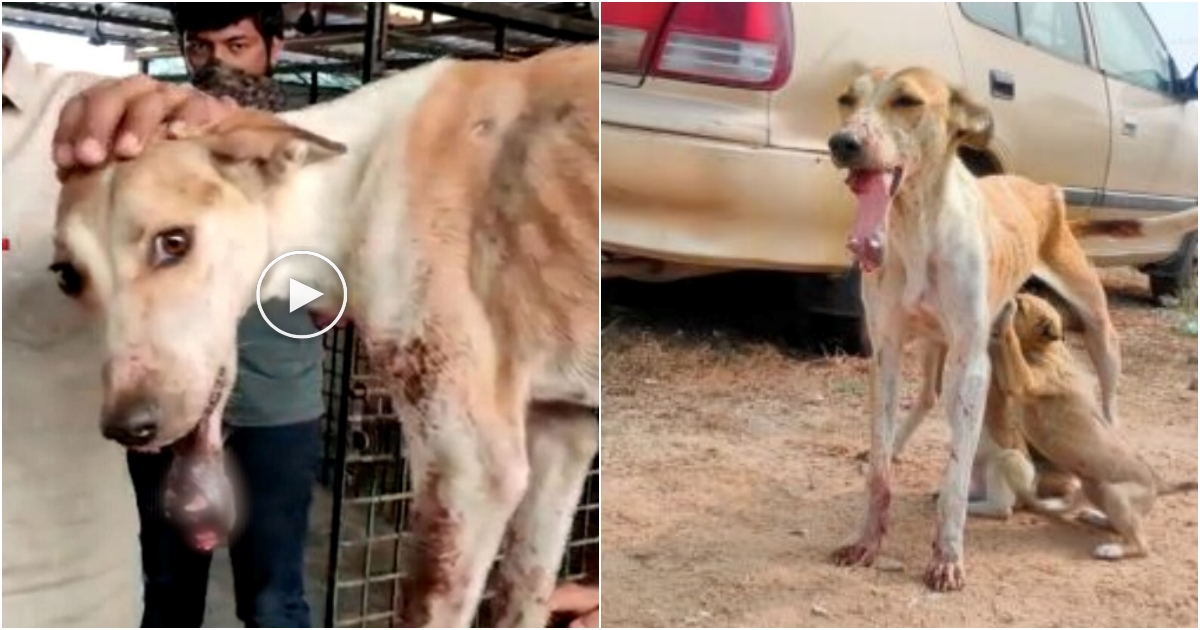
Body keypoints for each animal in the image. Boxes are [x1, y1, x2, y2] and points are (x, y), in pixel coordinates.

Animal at [52, 42, 600, 624]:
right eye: (67, 276)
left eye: (173, 242)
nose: (127, 428)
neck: (350, 178)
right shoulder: (560, 434)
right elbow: (524, 592)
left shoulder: (469, 470)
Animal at [988, 292, 1195, 556]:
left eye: (1023, 305)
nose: (1012, 297)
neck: (1048, 348)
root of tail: (1159, 482)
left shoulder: (1022, 379)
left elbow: (1009, 341)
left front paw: (1006, 316)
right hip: (1095, 489)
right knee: (1116, 524)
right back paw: (1093, 517)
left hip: (1116, 495)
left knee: (1141, 545)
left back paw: (1112, 550)